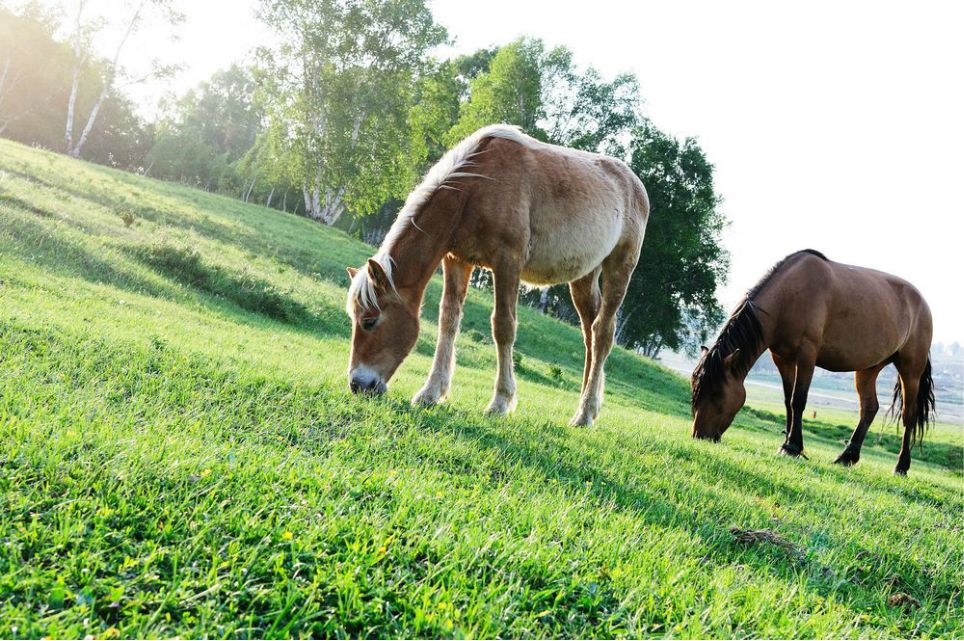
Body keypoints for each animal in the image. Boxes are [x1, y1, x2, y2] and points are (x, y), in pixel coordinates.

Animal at [344, 124, 648, 424]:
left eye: (369, 321)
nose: (358, 385)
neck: (475, 187)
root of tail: (634, 184)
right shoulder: (456, 260)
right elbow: (448, 320)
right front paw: (431, 392)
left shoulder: (507, 262)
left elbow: (503, 327)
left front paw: (500, 402)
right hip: (584, 277)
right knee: (589, 337)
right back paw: (588, 406)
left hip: (620, 266)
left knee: (602, 334)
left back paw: (585, 413)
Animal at [692, 250, 932, 476]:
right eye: (696, 392)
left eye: (717, 394)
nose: (699, 436)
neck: (789, 296)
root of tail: (922, 303)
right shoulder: (782, 358)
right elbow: (788, 400)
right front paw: (787, 442)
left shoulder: (807, 355)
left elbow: (798, 399)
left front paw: (792, 447)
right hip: (869, 368)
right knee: (869, 408)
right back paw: (847, 457)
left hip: (910, 371)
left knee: (908, 416)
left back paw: (901, 466)